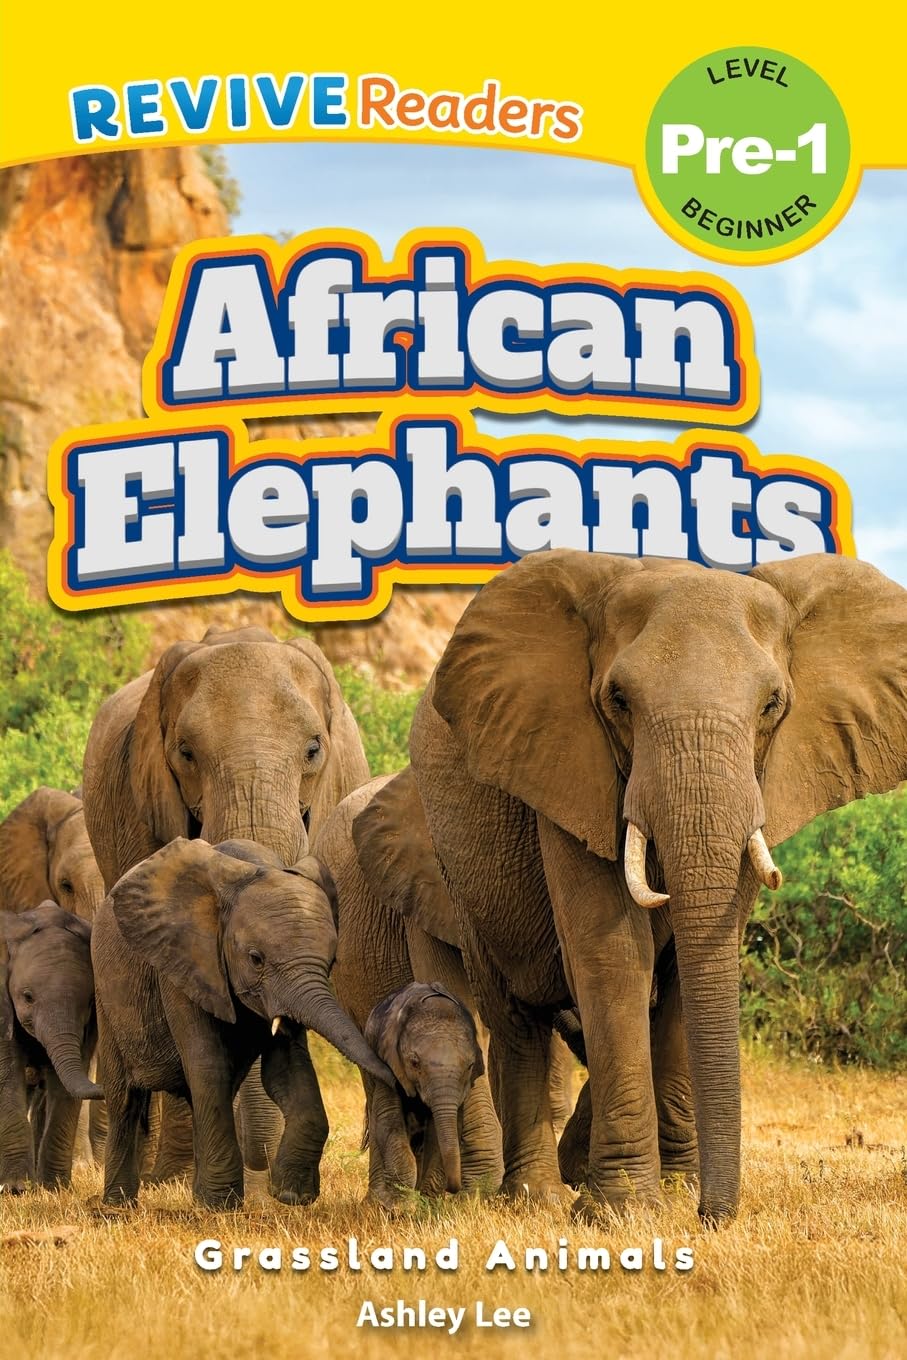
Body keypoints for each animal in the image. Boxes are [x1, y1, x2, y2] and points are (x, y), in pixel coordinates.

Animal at [0, 902, 102, 1192]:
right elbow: (7, 1072)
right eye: (27, 997)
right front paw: (16, 1189)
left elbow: (64, 1085)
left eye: (89, 1001)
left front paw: (54, 1188)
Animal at [91, 837, 394, 1208]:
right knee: (125, 1098)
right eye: (255, 959)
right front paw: (221, 1205)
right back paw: (117, 1206)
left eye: (332, 960)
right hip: (106, 995)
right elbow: (208, 1064)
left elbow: (288, 1067)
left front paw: (290, 1193)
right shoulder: (185, 964)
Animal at [363, 982, 484, 1207]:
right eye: (414, 1063)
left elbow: (441, 1133)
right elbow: (389, 1120)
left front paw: (428, 1206)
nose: (453, 1189)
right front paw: (398, 1207)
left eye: (470, 1066)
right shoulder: (385, 1061)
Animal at [408, 549, 907, 1224]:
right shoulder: (566, 761)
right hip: (464, 880)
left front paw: (672, 1190)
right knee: (517, 1019)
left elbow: (680, 975)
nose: (714, 1217)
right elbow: (614, 953)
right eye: (618, 700)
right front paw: (620, 1212)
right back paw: (537, 1197)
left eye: (773, 704)